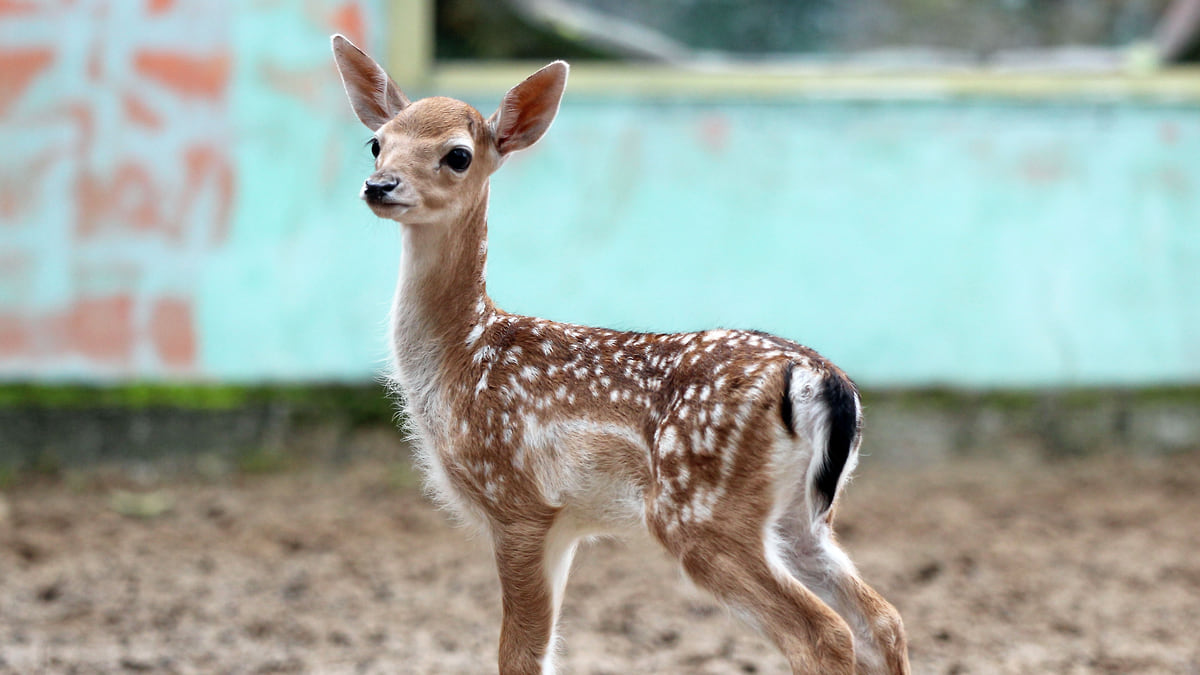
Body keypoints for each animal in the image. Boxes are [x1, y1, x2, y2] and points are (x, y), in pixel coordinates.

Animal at [331, 32, 907, 672]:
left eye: (458, 155)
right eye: (377, 143)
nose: (379, 186)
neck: (462, 357)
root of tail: (820, 381)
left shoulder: (519, 503)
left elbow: (518, 655)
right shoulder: (566, 524)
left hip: (699, 510)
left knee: (823, 632)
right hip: (801, 519)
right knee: (883, 619)